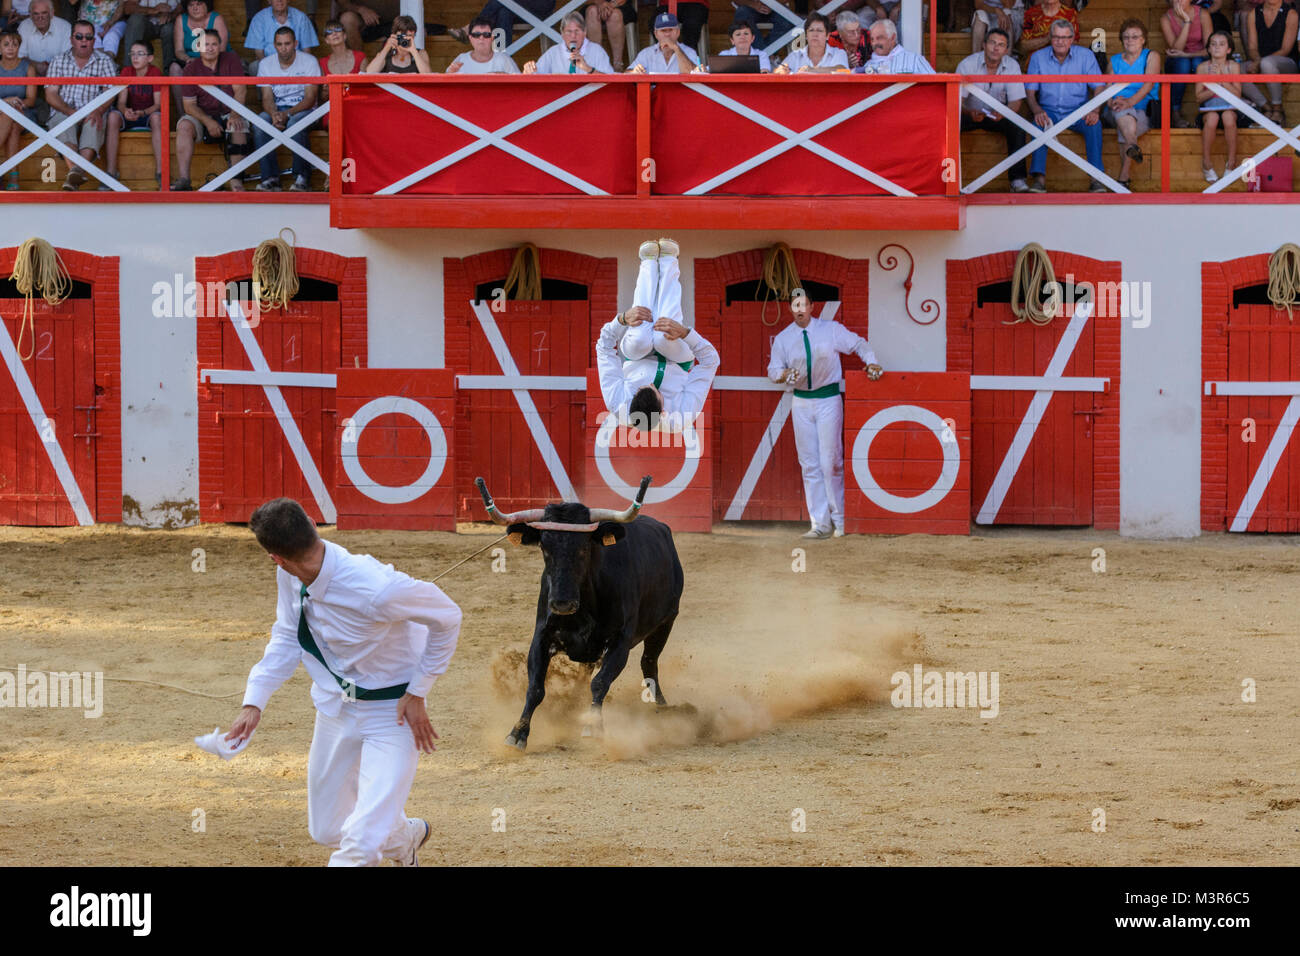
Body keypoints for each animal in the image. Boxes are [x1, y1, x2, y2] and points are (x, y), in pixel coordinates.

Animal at [475, 476, 681, 749]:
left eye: (584, 547)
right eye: (545, 547)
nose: (562, 604)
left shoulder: (621, 642)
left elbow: (600, 682)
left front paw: (593, 727)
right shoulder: (542, 636)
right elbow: (536, 687)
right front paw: (518, 732)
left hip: (666, 622)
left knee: (649, 663)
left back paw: (662, 707)